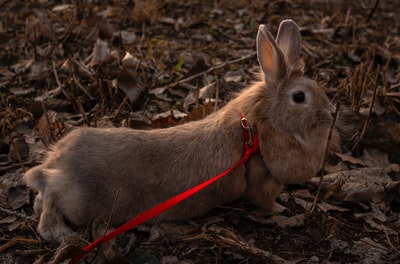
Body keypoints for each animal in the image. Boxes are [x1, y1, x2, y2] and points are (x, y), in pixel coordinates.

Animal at [22, 19, 334, 242]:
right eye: (299, 97)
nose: (331, 114)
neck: (256, 128)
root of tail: (56, 164)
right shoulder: (261, 183)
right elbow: (265, 202)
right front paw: (282, 210)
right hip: (79, 201)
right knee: (51, 200)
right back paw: (61, 233)